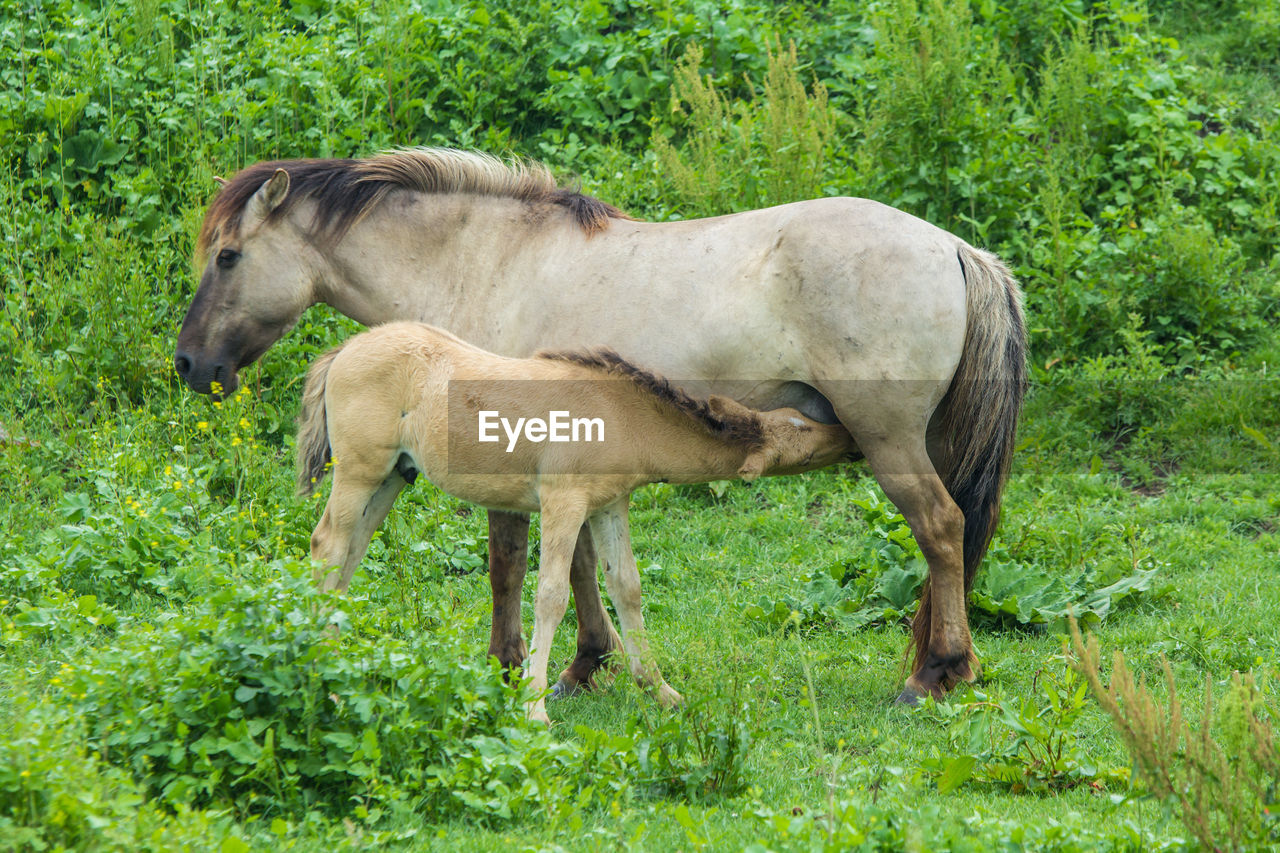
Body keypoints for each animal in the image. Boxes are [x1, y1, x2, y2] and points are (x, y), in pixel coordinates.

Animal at [294, 322, 855, 722]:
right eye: (802, 431)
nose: (847, 435)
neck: (621, 416)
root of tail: (344, 350)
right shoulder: (562, 502)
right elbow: (551, 595)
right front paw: (535, 707)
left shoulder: (610, 505)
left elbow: (626, 587)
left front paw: (662, 691)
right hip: (360, 471)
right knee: (328, 545)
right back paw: (321, 667)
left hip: (393, 476)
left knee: (348, 557)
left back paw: (336, 665)